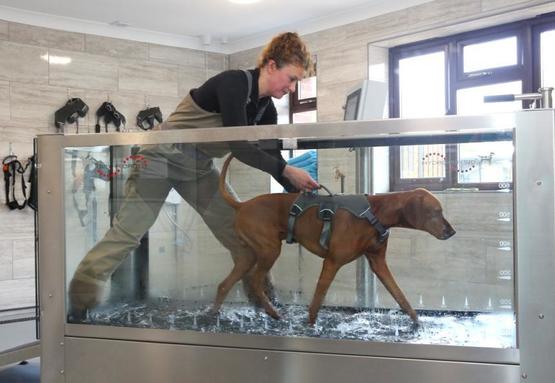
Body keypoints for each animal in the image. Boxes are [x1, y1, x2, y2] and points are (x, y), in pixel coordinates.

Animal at [213, 154, 456, 326]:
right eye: (436, 212)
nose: (451, 231)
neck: (375, 212)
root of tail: (242, 205)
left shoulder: (379, 264)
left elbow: (400, 296)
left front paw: (417, 322)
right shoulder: (331, 262)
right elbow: (318, 299)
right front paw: (310, 326)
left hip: (248, 256)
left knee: (225, 284)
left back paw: (213, 315)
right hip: (269, 251)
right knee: (255, 282)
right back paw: (272, 313)